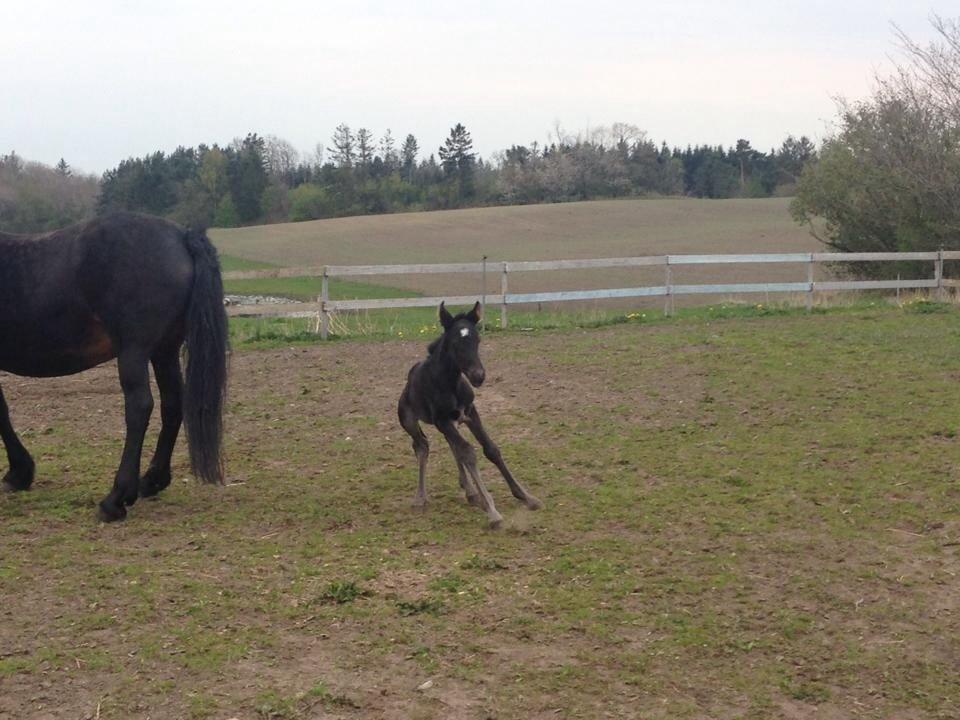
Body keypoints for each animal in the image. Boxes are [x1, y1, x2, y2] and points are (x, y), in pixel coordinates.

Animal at [0, 211, 229, 520]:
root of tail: (182, 236)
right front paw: (20, 473)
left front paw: (19, 472)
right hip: (164, 350)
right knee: (172, 403)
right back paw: (152, 480)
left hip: (133, 350)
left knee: (139, 407)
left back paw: (116, 498)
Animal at [396, 300, 540, 524]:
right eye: (455, 343)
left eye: (478, 339)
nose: (478, 376)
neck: (451, 384)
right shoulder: (442, 420)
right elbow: (468, 452)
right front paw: (492, 511)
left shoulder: (470, 413)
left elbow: (490, 449)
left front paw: (525, 496)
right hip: (409, 419)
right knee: (422, 446)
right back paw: (420, 499)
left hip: (452, 423)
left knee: (451, 446)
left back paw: (471, 492)